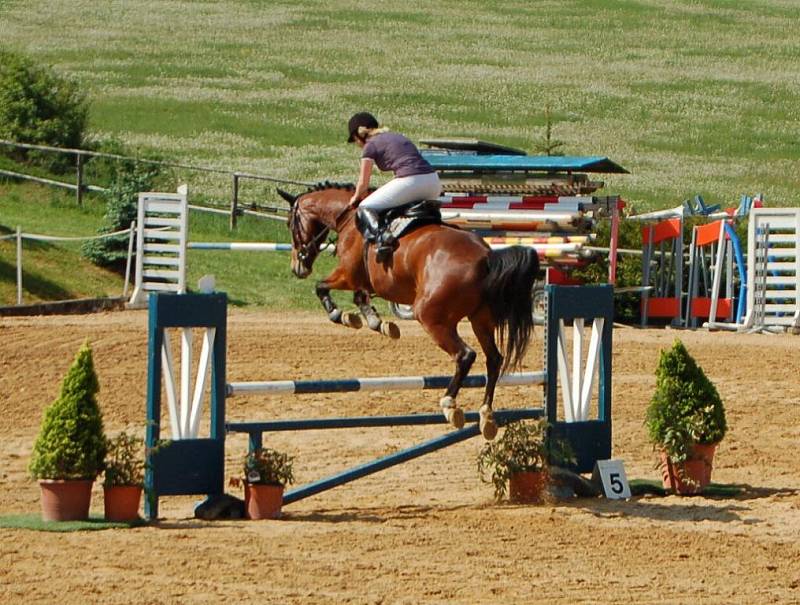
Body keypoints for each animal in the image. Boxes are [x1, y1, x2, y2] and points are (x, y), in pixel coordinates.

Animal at [278, 180, 540, 438]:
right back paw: (486, 416)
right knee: (494, 359)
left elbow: (321, 287)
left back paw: (450, 405)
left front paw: (341, 315)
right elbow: (360, 298)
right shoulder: (364, 283)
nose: (297, 267)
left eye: (291, 223)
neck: (348, 218)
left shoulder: (347, 275)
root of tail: (486, 256)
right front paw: (379, 323)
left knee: (465, 355)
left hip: (431, 318)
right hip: (481, 320)